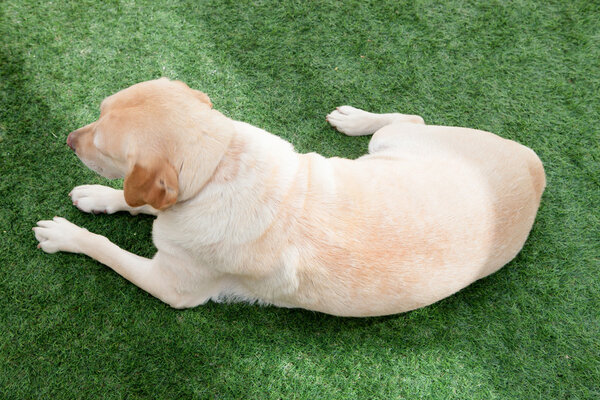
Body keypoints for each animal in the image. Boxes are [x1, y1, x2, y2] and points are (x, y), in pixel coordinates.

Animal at [35, 77, 548, 316]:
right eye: (99, 111)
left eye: (102, 146)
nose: (68, 140)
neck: (220, 165)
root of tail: (535, 165)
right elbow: (138, 199)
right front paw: (101, 197)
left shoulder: (173, 287)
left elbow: (108, 246)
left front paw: (67, 235)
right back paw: (355, 119)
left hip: (402, 143)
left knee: (414, 117)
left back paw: (357, 118)